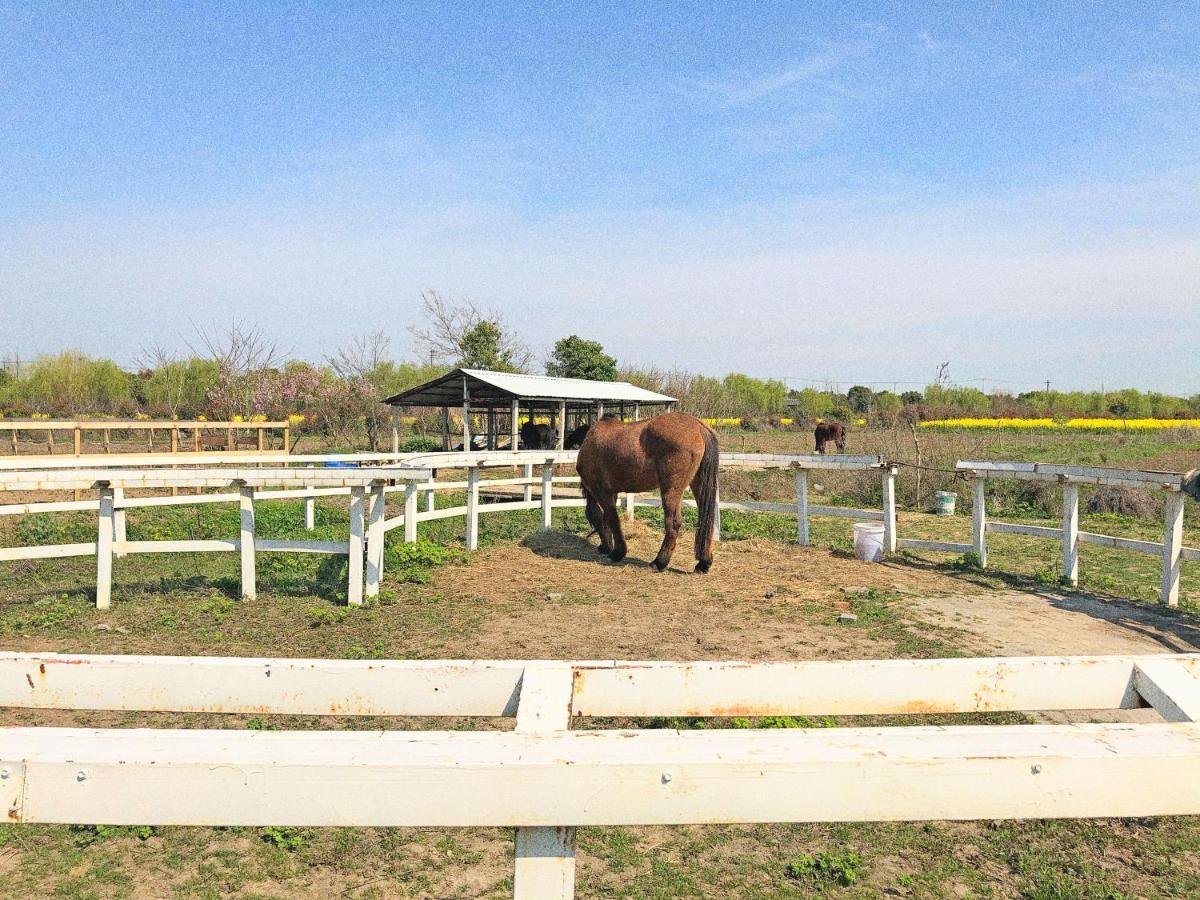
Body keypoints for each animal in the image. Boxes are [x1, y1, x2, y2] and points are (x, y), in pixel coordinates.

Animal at [576, 415, 715, 573]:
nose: (602, 548)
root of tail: (698, 427)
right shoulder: (612, 493)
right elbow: (608, 519)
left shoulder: (602, 492)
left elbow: (610, 519)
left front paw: (617, 552)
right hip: (698, 485)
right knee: (706, 520)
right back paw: (703, 563)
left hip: (671, 490)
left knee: (673, 523)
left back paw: (659, 562)